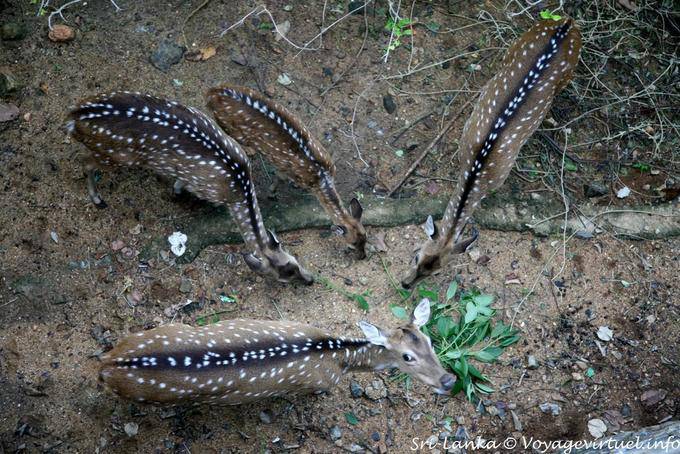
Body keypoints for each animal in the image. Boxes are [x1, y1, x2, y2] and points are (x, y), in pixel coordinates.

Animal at [67, 92, 314, 285]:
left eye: (295, 261)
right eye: (283, 277)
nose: (310, 280)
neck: (238, 187)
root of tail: (73, 117)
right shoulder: (203, 186)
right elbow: (181, 185)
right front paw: (177, 194)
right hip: (114, 155)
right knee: (85, 163)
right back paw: (97, 199)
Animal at [99, 299, 455, 405]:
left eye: (429, 342)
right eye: (407, 357)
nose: (449, 381)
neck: (338, 357)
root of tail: (107, 363)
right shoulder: (317, 384)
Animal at [205, 85, 367, 259]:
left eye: (365, 237)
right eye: (352, 244)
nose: (363, 256)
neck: (320, 179)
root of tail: (212, 92)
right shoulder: (286, 169)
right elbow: (279, 177)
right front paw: (272, 193)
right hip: (230, 127)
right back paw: (248, 150)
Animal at [401, 18, 582, 289]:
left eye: (435, 273)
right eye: (416, 256)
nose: (405, 284)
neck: (476, 169)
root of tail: (567, 23)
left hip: (569, 70)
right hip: (520, 44)